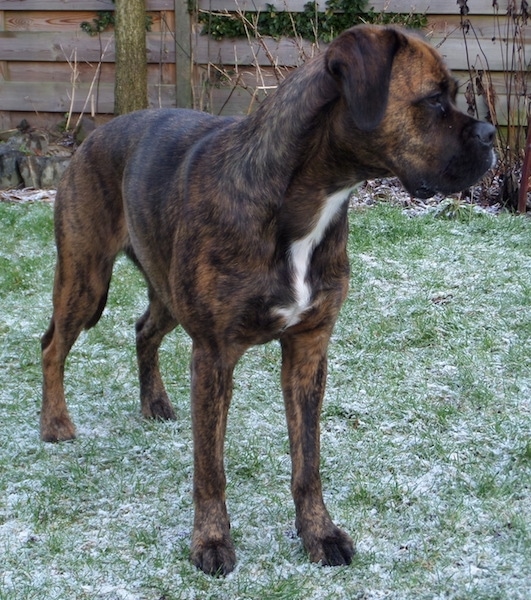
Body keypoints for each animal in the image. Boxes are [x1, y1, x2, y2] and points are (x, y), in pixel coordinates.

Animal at [41, 25, 494, 576]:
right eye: (433, 100)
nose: (491, 134)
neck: (303, 199)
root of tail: (91, 137)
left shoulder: (308, 349)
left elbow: (308, 461)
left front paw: (318, 533)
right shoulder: (214, 356)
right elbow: (210, 467)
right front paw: (212, 541)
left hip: (164, 289)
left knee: (143, 329)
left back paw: (154, 403)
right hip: (85, 280)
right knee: (52, 346)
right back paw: (55, 423)